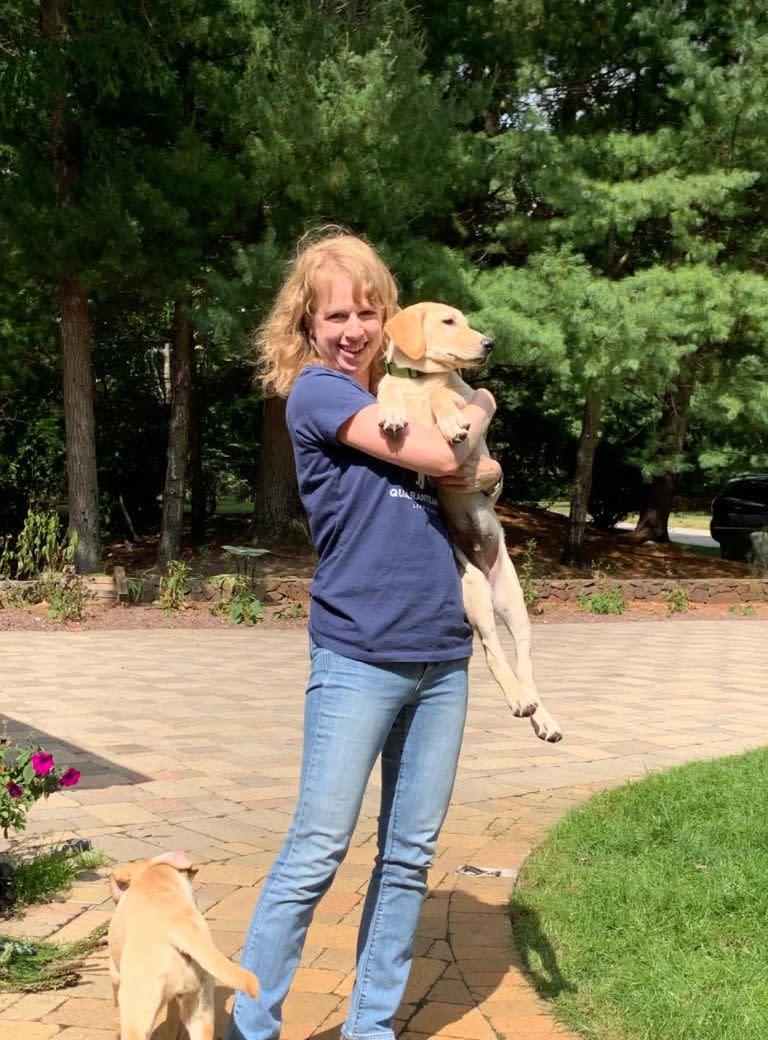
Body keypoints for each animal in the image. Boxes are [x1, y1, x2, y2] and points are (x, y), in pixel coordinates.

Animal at [378, 303, 561, 744]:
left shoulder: (470, 404)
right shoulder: (393, 384)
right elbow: (385, 387)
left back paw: (536, 710)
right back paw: (526, 705)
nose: (490, 343)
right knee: (493, 650)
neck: (419, 381)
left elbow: (445, 393)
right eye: (448, 322)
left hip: (514, 603)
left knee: (521, 662)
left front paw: (450, 421)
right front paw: (391, 410)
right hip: (473, 588)